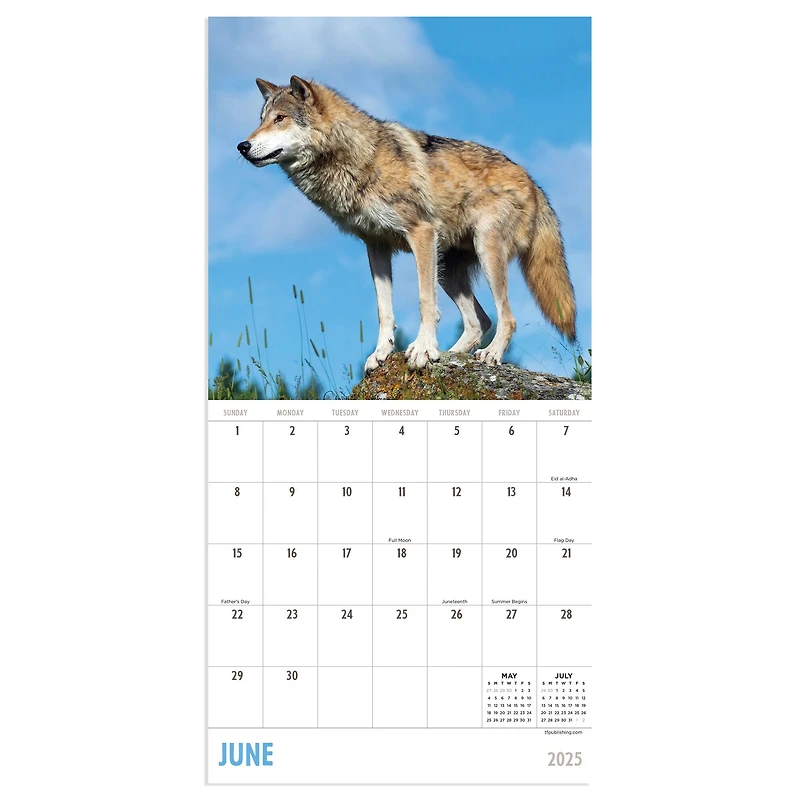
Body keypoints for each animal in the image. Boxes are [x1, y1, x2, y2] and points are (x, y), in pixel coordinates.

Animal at [237, 76, 577, 372]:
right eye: (261, 119)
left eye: (280, 118)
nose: (242, 146)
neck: (361, 159)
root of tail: (533, 181)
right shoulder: (375, 246)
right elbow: (383, 310)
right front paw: (382, 353)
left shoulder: (421, 233)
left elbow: (425, 301)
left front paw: (423, 350)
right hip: (447, 269)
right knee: (480, 321)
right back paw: (451, 355)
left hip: (484, 251)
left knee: (506, 318)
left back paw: (489, 355)